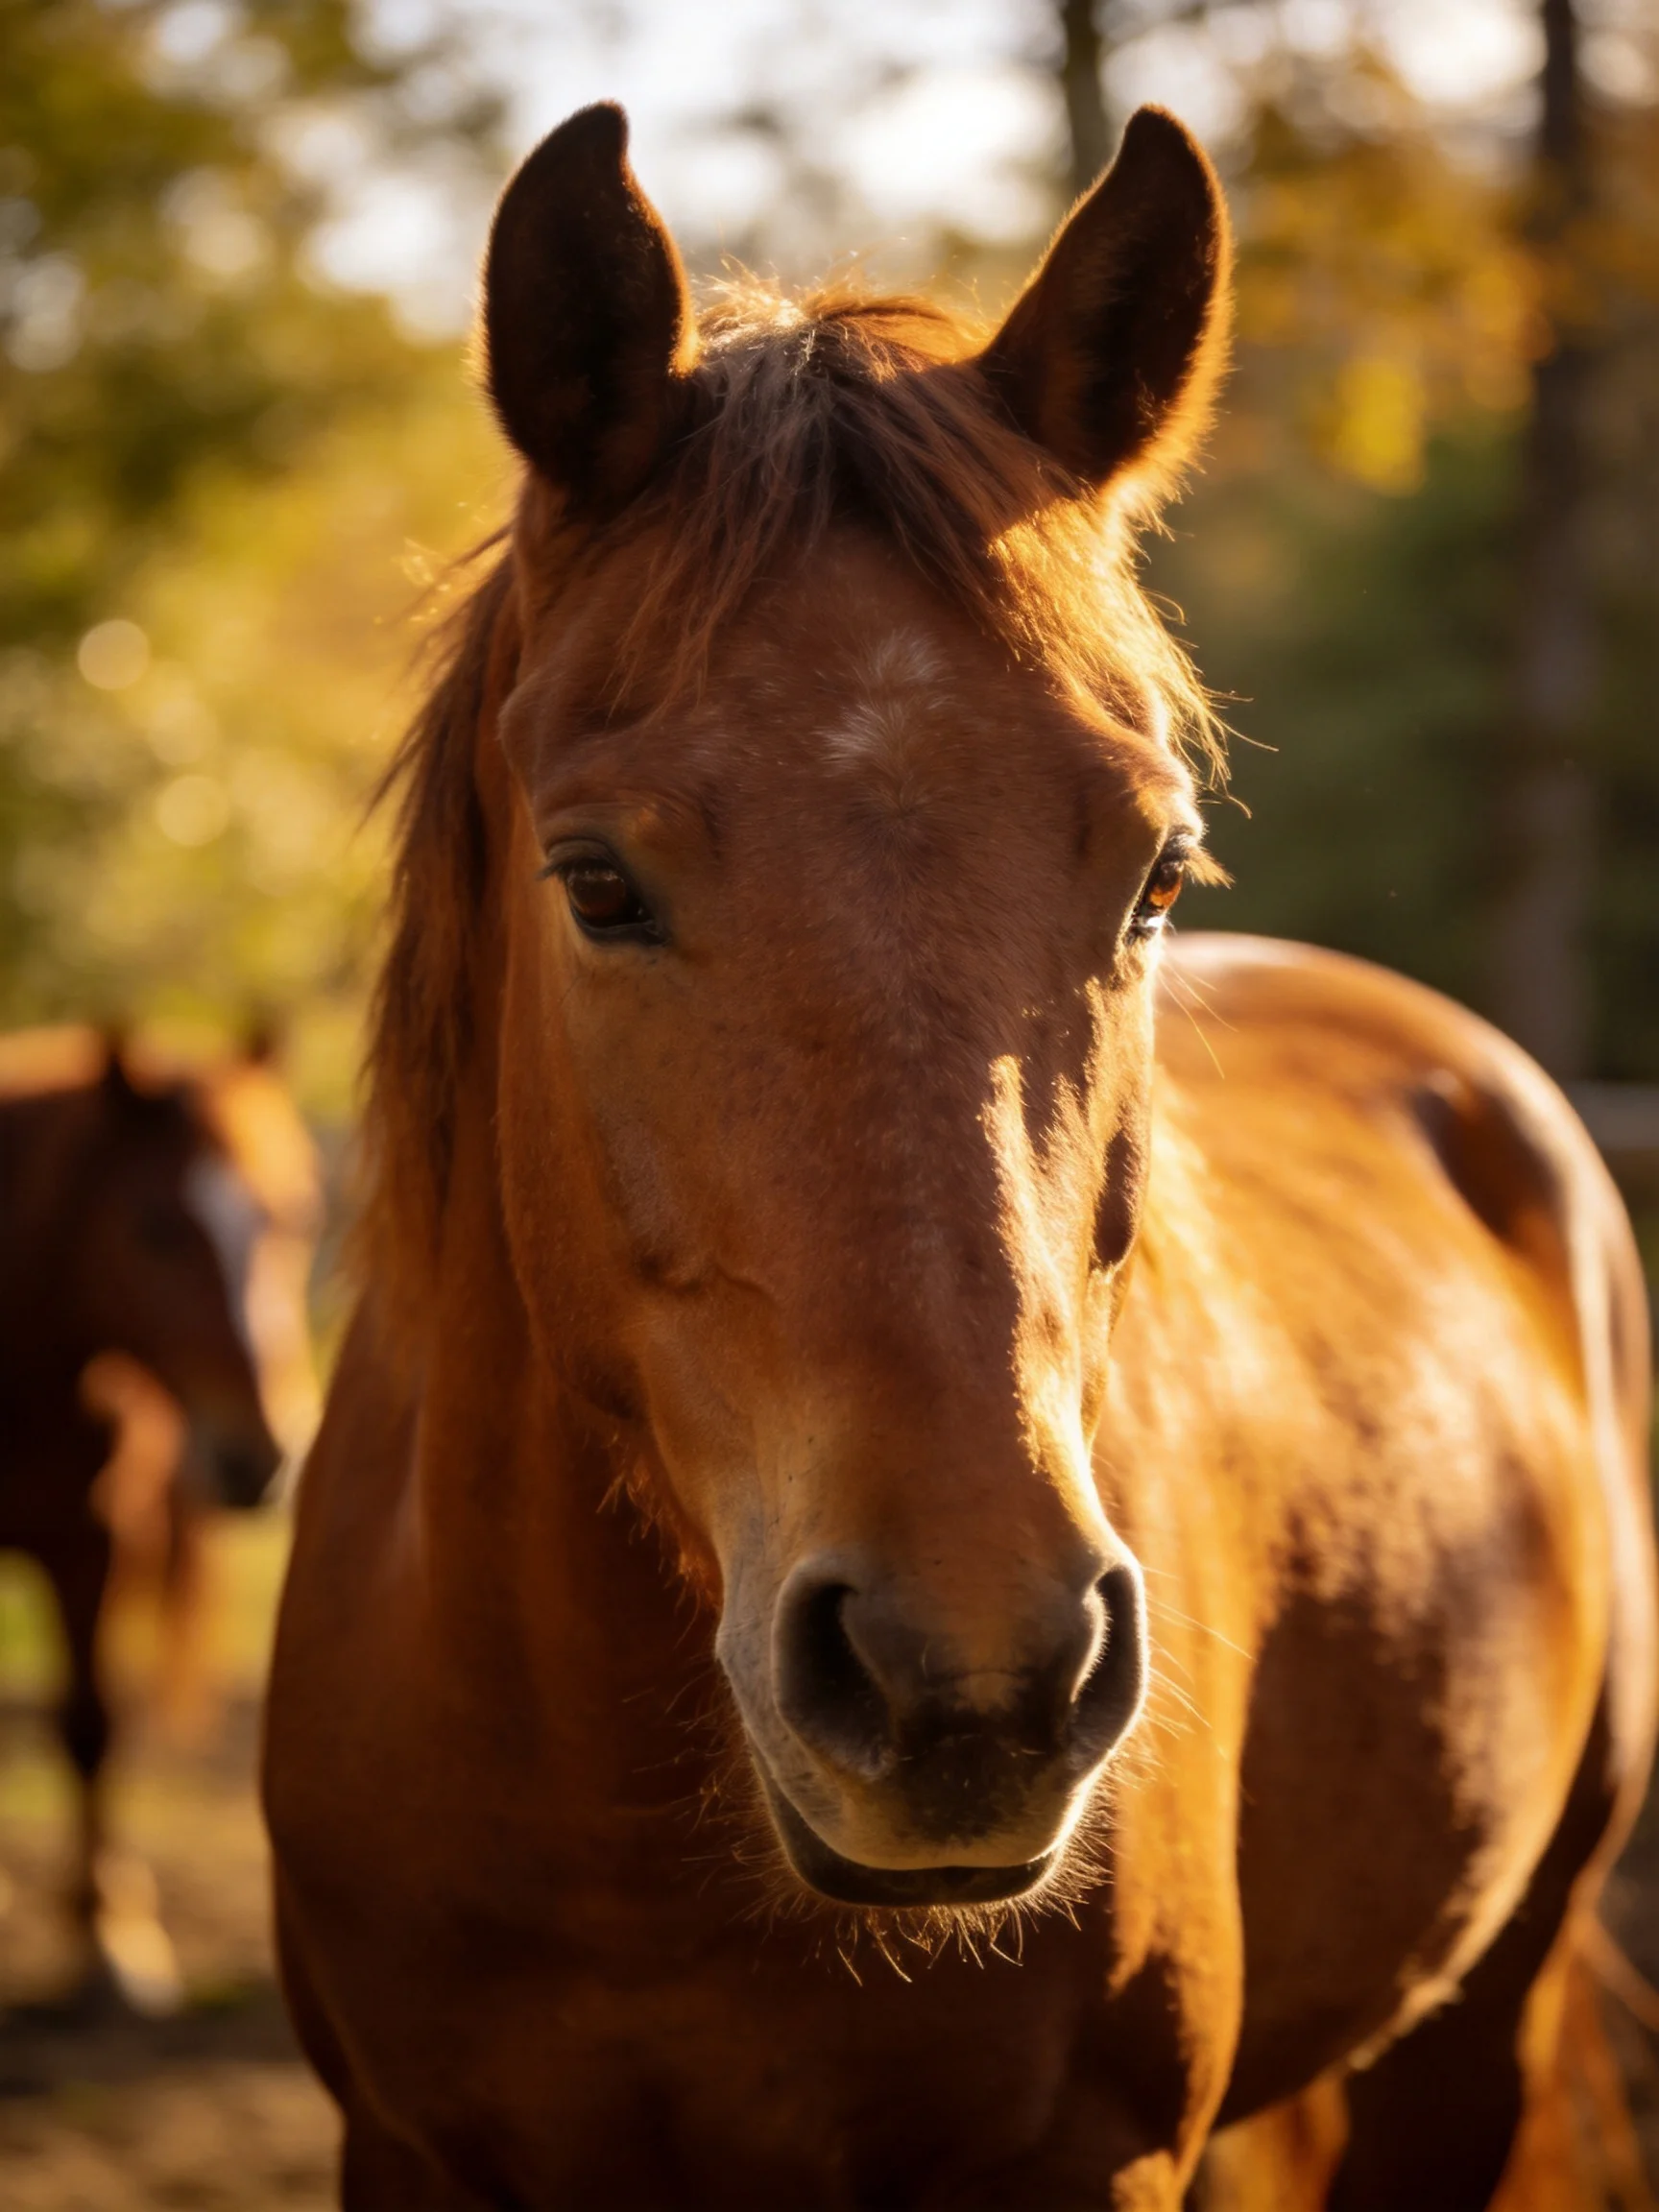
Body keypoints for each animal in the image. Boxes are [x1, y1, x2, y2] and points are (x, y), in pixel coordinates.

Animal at [0, 1025, 320, 2010]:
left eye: (298, 1216)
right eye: (149, 1226)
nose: (262, 1454)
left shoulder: (93, 1542)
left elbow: (91, 1725)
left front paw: (112, 1938)